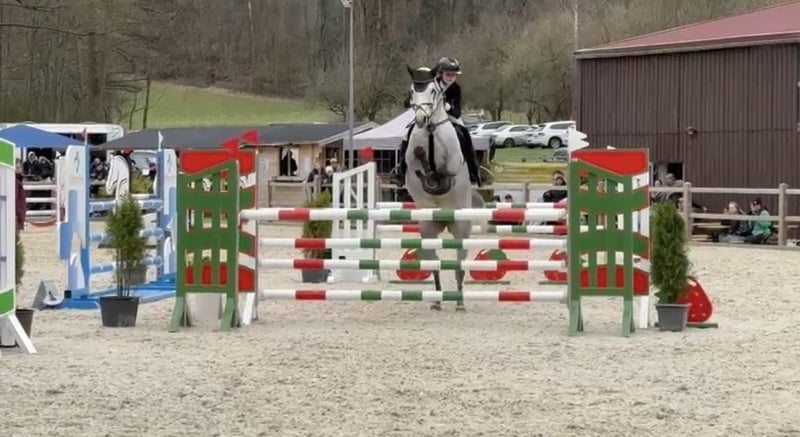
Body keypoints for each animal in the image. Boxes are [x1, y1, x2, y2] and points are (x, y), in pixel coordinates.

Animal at [403, 64, 485, 312]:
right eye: (412, 91)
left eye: (433, 91)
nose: (420, 118)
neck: (431, 130)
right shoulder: (412, 162)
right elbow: (418, 164)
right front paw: (423, 158)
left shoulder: (451, 166)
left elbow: (443, 174)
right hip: (428, 227)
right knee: (434, 262)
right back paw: (437, 301)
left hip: (461, 226)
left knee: (459, 263)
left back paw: (459, 303)